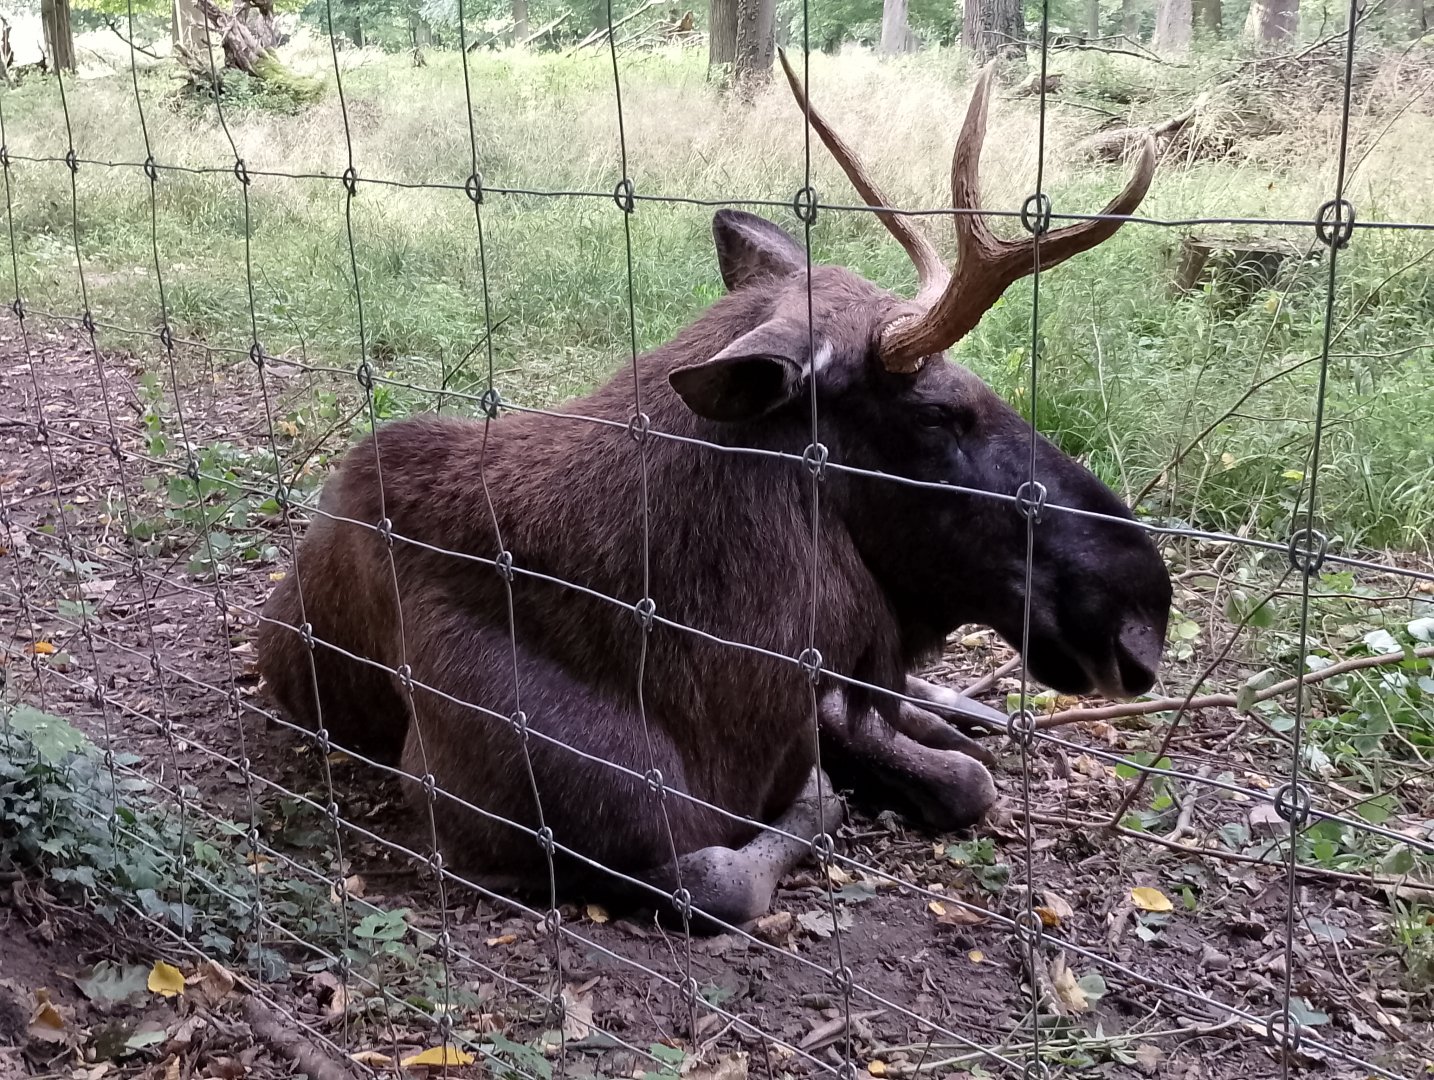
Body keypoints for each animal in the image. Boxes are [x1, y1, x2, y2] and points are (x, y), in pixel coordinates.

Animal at [255, 55, 1172, 930]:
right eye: (939, 412)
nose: (1140, 612)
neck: (706, 659)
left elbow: (942, 779)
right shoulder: (471, 816)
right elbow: (732, 870)